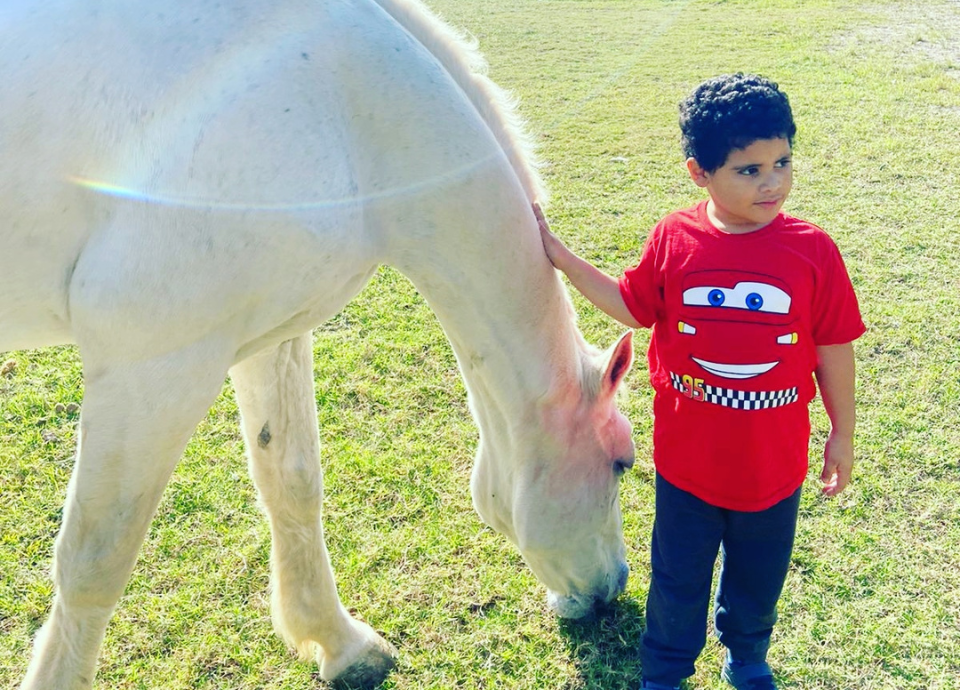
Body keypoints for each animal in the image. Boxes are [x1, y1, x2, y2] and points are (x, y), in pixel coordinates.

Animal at [0, 0, 636, 687]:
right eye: (622, 463)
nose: (612, 588)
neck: (345, 105)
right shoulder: (153, 365)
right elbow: (96, 559)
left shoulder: (268, 337)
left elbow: (292, 482)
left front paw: (339, 643)